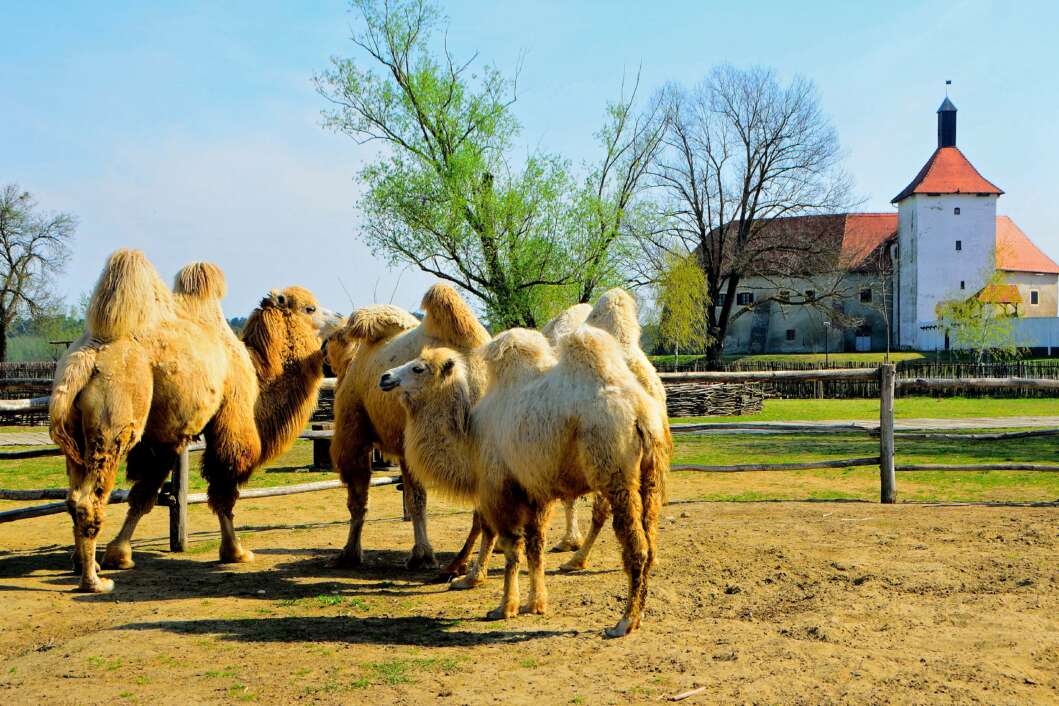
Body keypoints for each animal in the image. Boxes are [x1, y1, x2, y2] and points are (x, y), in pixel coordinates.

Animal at [49, 248, 338, 592]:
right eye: (310, 308)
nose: (340, 318)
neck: (257, 374)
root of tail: (86, 357)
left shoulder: (162, 440)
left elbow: (144, 495)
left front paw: (119, 554)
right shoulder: (231, 419)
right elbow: (224, 489)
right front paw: (235, 551)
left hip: (77, 434)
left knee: (72, 495)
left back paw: (83, 562)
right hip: (116, 421)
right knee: (87, 499)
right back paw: (94, 581)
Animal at [328, 283, 489, 571]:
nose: (324, 350)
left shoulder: (355, 431)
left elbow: (362, 498)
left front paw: (350, 553)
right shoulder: (406, 445)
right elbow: (416, 497)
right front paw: (423, 554)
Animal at [383, 328, 669, 639]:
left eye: (419, 368)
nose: (385, 377)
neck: (470, 436)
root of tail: (641, 414)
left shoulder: (499, 487)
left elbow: (510, 546)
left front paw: (504, 607)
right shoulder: (534, 491)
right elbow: (535, 546)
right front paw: (535, 604)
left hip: (615, 474)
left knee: (636, 546)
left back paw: (624, 622)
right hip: (650, 475)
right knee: (650, 536)